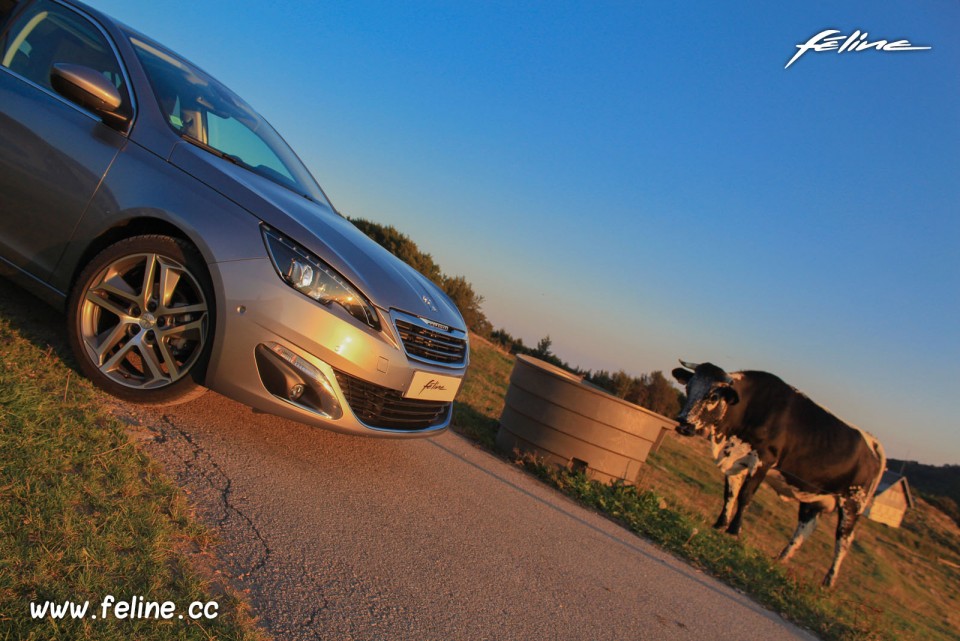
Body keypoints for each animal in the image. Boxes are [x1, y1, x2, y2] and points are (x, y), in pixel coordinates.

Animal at [668, 358, 884, 588]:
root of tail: (873, 442)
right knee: (805, 527)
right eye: (689, 387)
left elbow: (745, 497)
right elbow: (730, 494)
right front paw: (720, 524)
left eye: (713, 396)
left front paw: (734, 531)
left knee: (843, 540)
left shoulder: (763, 461)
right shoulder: (735, 460)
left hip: (853, 502)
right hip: (814, 496)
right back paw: (780, 559)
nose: (683, 423)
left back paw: (828, 581)